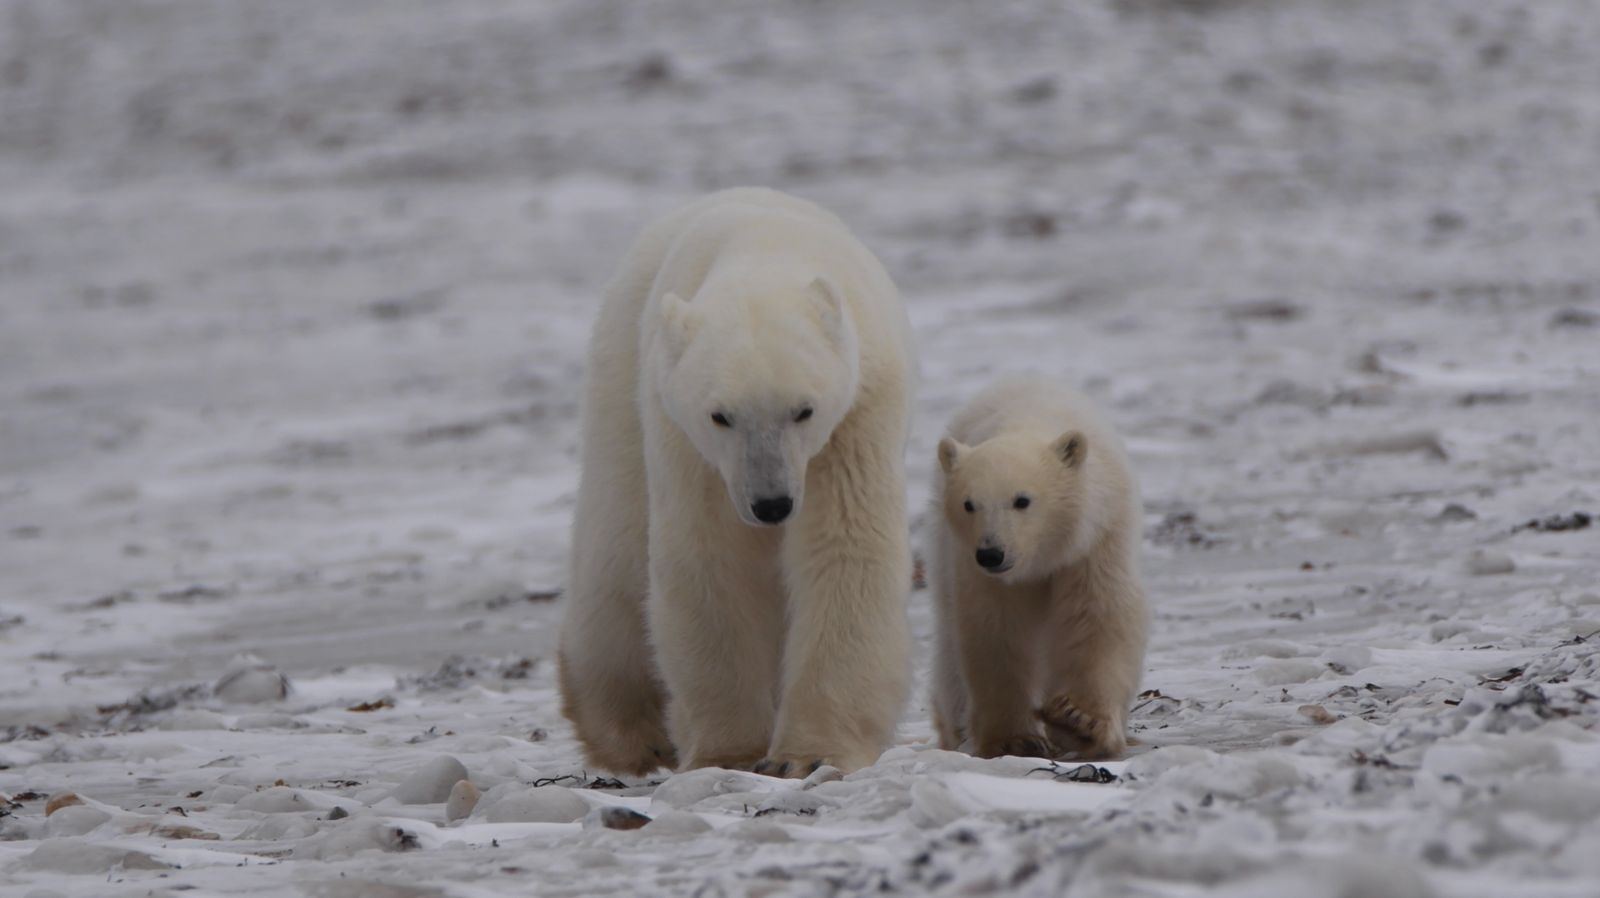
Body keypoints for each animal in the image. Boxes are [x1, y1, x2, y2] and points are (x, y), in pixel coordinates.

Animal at [557, 187, 915, 778]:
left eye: (804, 410)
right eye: (721, 416)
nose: (771, 504)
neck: (764, 252)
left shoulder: (857, 415)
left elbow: (845, 546)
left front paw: (810, 755)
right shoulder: (687, 438)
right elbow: (712, 558)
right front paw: (730, 753)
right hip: (620, 374)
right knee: (618, 540)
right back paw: (629, 732)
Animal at [927, 376, 1148, 761]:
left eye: (1022, 500)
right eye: (969, 504)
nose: (991, 553)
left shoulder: (1096, 539)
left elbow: (1098, 615)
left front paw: (1079, 721)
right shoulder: (981, 571)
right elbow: (997, 629)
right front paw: (1016, 739)